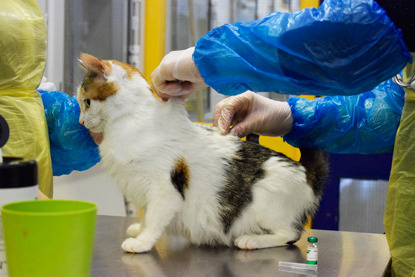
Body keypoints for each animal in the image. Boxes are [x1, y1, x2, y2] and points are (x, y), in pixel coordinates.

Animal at [75, 53, 328, 252]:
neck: (127, 121)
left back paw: (251, 240)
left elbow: (155, 218)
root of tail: (305, 171)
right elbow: (147, 215)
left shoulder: (165, 189)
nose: (81, 121)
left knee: (290, 235)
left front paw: (142, 242)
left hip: (266, 201)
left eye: (86, 102)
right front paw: (139, 229)